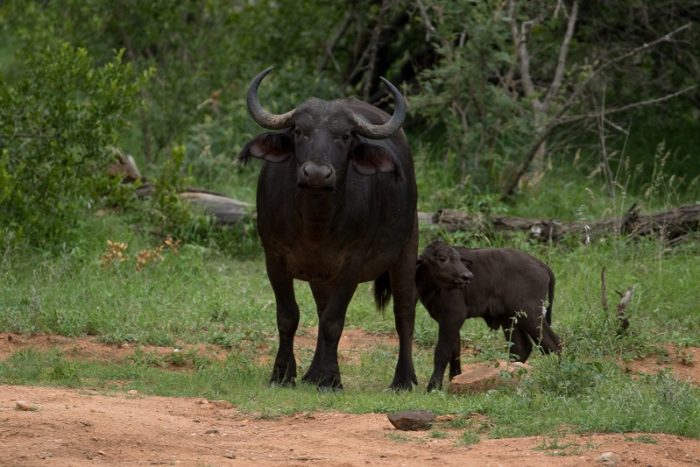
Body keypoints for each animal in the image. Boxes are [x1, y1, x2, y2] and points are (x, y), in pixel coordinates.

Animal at [238, 68, 418, 391]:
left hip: (407, 248)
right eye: (299, 131)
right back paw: (313, 373)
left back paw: (403, 379)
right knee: (322, 309)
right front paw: (283, 373)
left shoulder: (352, 264)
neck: (315, 223)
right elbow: (289, 316)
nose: (317, 174)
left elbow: (335, 321)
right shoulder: (274, 258)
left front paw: (331, 378)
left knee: (404, 313)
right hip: (321, 276)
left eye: (345, 136)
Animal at [415, 240, 561, 391]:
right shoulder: (448, 322)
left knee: (554, 344)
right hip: (511, 318)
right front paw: (454, 378)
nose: (467, 276)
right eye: (442, 258)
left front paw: (433, 387)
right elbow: (455, 352)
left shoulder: (452, 318)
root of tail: (542, 265)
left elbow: (442, 352)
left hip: (531, 315)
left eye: (458, 258)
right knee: (521, 348)